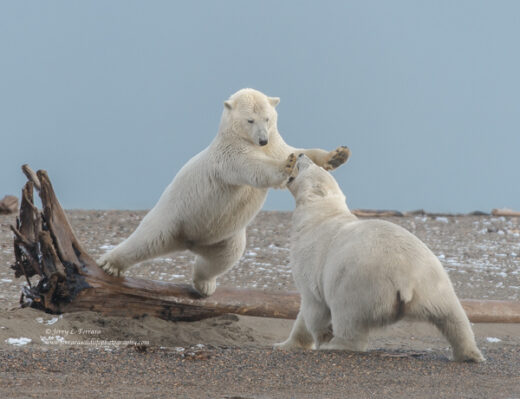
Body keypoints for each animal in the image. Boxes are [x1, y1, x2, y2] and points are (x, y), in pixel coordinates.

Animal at [97, 89, 350, 298]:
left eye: (267, 118)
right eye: (250, 120)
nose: (262, 139)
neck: (246, 140)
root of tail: (189, 241)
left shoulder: (275, 145)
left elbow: (298, 152)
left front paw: (337, 155)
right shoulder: (230, 155)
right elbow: (255, 168)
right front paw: (286, 166)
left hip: (223, 237)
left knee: (222, 259)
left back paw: (204, 284)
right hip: (171, 217)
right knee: (144, 240)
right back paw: (109, 264)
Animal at [278, 155, 486, 364]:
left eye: (310, 166)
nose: (301, 155)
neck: (320, 214)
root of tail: (405, 278)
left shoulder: (311, 260)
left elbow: (313, 306)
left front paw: (315, 339)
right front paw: (284, 344)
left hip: (359, 284)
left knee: (348, 318)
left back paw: (336, 344)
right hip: (433, 282)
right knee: (453, 316)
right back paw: (469, 354)